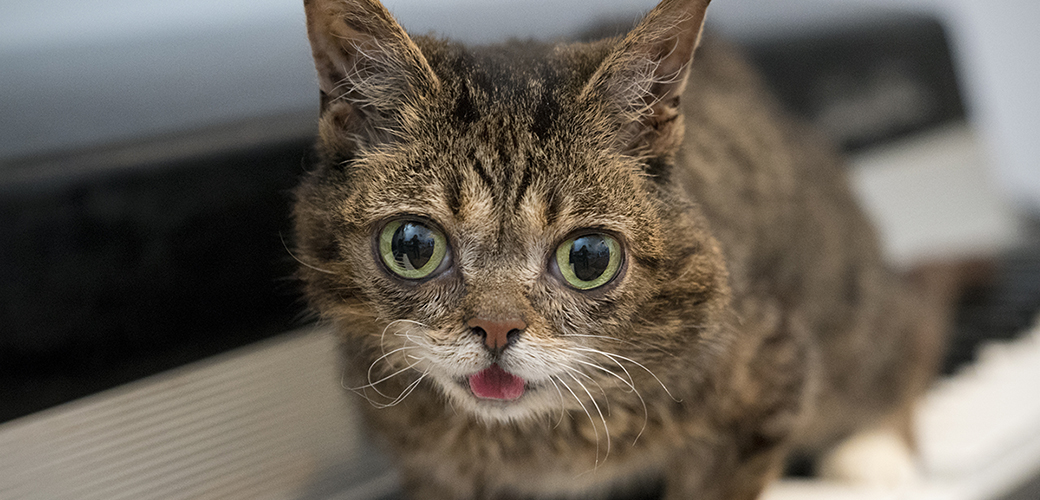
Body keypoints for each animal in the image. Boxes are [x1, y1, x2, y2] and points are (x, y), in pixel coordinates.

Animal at [289, 0, 948, 494]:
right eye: (414, 246)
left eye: (588, 259)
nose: (497, 329)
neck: (537, 436)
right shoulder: (426, 463)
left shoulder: (771, 373)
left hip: (852, 322)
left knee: (915, 318)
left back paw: (877, 449)